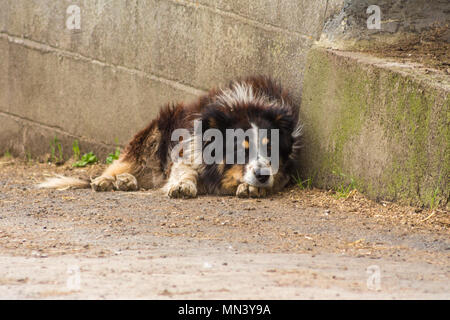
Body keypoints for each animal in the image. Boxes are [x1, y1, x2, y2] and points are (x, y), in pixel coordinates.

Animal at [38, 76, 300, 199]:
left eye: (270, 149)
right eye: (240, 150)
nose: (262, 175)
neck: (246, 106)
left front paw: (253, 187)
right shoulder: (187, 149)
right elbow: (184, 172)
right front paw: (183, 186)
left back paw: (127, 182)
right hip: (152, 136)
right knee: (120, 166)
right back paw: (109, 180)